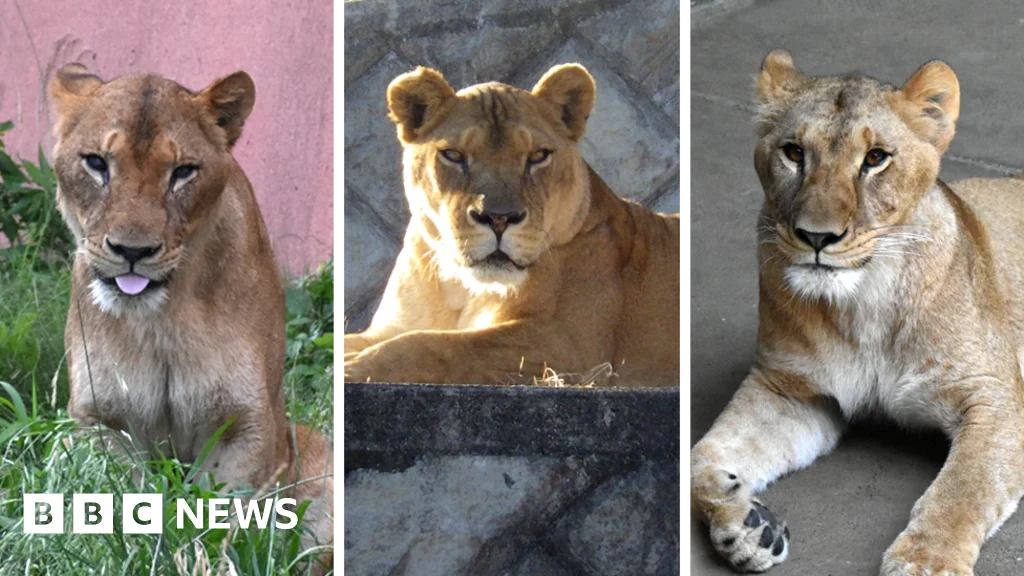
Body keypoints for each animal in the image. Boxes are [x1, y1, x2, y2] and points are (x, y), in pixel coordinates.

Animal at [50, 64, 334, 571]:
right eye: (97, 163)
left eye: (182, 171)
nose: (133, 251)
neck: (161, 321)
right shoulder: (100, 420)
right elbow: (120, 508)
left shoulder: (245, 424)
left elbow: (220, 519)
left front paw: (205, 562)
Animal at [340, 64, 683, 387]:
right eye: (453, 155)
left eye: (538, 156)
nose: (499, 218)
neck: (461, 287)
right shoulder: (391, 326)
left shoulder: (572, 345)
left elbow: (441, 345)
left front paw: (350, 368)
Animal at [690, 50, 1024, 575]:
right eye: (794, 153)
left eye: (875, 158)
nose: (816, 236)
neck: (866, 305)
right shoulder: (789, 389)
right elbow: (699, 460)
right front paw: (747, 527)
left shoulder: (993, 397)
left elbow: (961, 491)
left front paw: (925, 562)